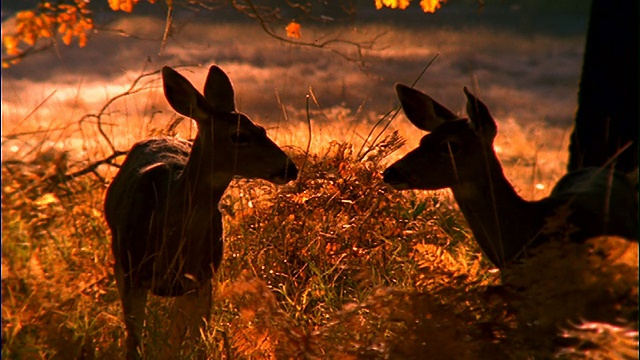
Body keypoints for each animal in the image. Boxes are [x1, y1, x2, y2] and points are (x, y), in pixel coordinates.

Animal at [104, 64, 298, 358]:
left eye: (262, 129)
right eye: (239, 135)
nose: (290, 168)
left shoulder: (202, 278)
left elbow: (192, 342)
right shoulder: (131, 272)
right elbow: (134, 342)